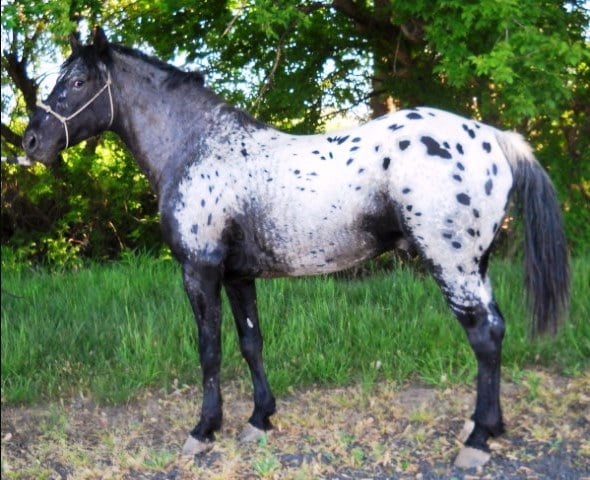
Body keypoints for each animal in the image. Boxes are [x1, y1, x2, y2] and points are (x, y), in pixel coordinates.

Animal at [24, 27, 572, 468]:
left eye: (78, 82)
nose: (31, 142)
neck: (198, 146)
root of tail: (492, 137)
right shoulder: (238, 275)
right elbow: (251, 343)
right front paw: (259, 420)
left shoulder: (199, 271)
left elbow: (209, 348)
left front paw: (203, 431)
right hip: (476, 264)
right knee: (494, 331)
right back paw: (487, 428)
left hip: (452, 263)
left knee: (484, 335)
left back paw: (477, 443)